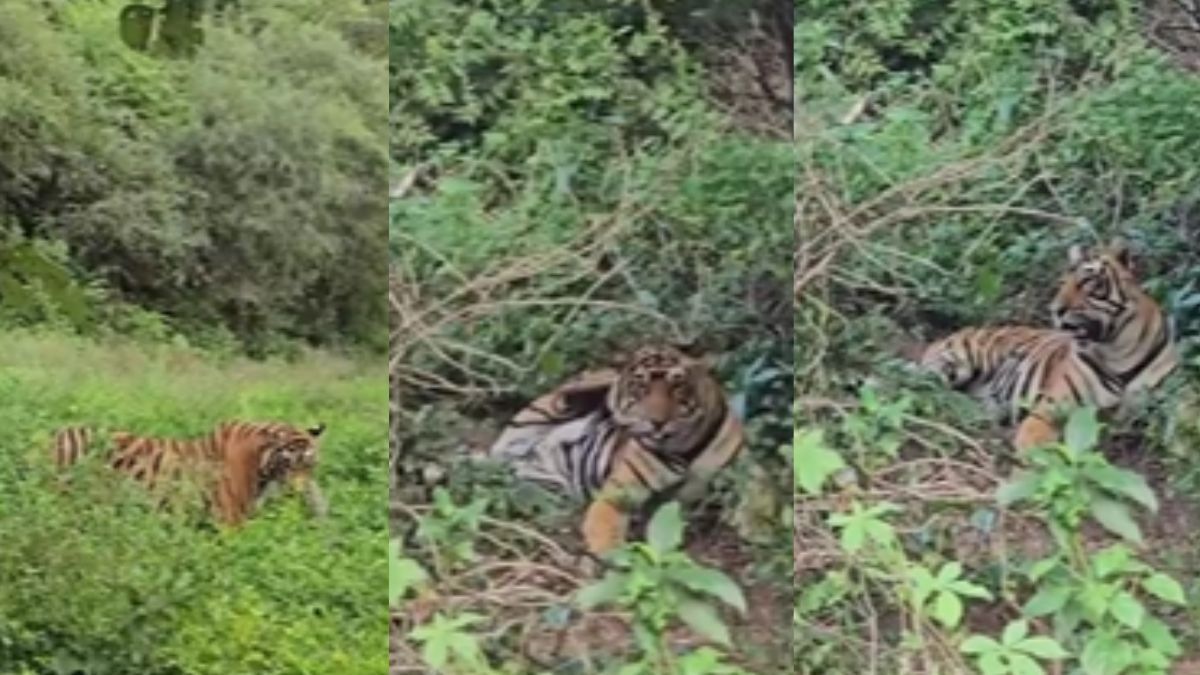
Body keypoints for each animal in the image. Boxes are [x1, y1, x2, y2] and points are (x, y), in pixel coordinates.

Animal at [488, 344, 746, 556]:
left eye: (677, 386)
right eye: (641, 388)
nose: (657, 422)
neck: (686, 447)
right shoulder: (621, 490)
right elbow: (607, 523)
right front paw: (618, 560)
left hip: (549, 488)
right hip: (538, 417)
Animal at [920, 240, 1178, 451]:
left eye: (1087, 282)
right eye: (1062, 283)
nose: (1055, 309)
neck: (1117, 350)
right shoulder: (1050, 408)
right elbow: (1038, 447)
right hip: (955, 363)